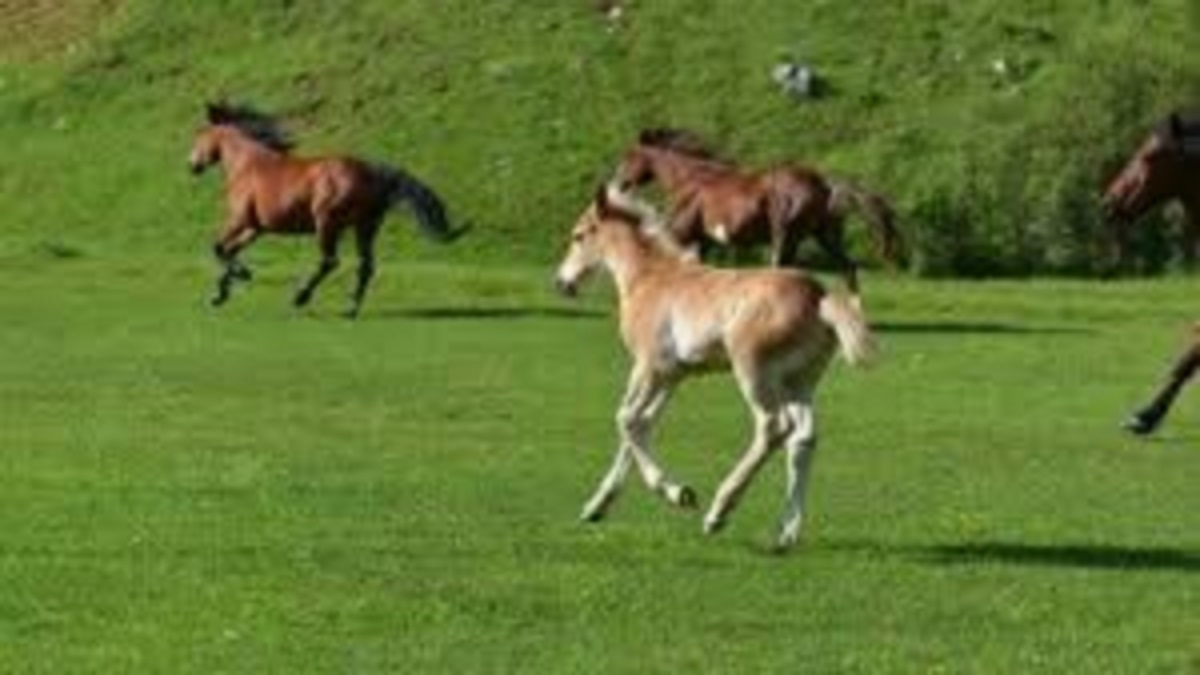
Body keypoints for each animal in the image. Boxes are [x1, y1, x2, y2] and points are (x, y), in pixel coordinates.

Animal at [188, 103, 463, 317]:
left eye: (200, 134)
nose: (192, 165)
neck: (247, 165)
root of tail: (371, 173)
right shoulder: (256, 228)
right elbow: (228, 250)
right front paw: (220, 293)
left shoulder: (239, 220)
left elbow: (218, 248)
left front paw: (241, 275)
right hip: (365, 227)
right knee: (366, 266)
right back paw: (351, 308)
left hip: (327, 224)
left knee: (330, 261)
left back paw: (301, 296)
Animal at [556, 183, 878, 547]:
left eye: (579, 235)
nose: (562, 283)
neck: (650, 278)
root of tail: (819, 297)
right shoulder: (673, 375)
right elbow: (642, 424)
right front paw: (597, 505)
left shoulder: (649, 366)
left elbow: (625, 419)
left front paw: (678, 493)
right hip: (799, 382)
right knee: (804, 438)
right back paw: (787, 532)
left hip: (753, 371)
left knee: (773, 426)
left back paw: (719, 511)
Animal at [609, 127, 902, 293]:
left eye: (629, 156)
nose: (619, 183)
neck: (694, 181)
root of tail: (823, 183)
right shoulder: (704, 240)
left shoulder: (682, 233)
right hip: (823, 236)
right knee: (848, 269)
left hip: (784, 235)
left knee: (782, 269)